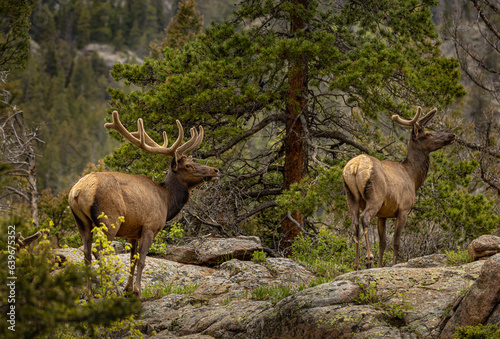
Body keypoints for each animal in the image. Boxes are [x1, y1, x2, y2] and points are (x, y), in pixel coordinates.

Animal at [68, 111, 219, 294]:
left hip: (82, 223)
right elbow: (141, 259)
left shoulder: (132, 231)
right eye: (189, 165)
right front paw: (136, 290)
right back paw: (113, 290)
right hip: (109, 220)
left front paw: (128, 288)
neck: (167, 200)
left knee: (86, 254)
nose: (215, 170)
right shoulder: (150, 227)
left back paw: (90, 294)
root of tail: (77, 191)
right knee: (99, 251)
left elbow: (132, 259)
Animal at [342, 107, 456, 270]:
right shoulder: (403, 209)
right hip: (375, 197)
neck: (413, 177)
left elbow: (383, 243)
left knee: (355, 222)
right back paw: (368, 257)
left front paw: (380, 265)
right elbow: (396, 242)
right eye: (428, 133)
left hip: (350, 196)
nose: (452, 135)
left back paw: (357, 264)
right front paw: (393, 263)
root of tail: (355, 167)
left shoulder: (383, 214)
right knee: (365, 217)